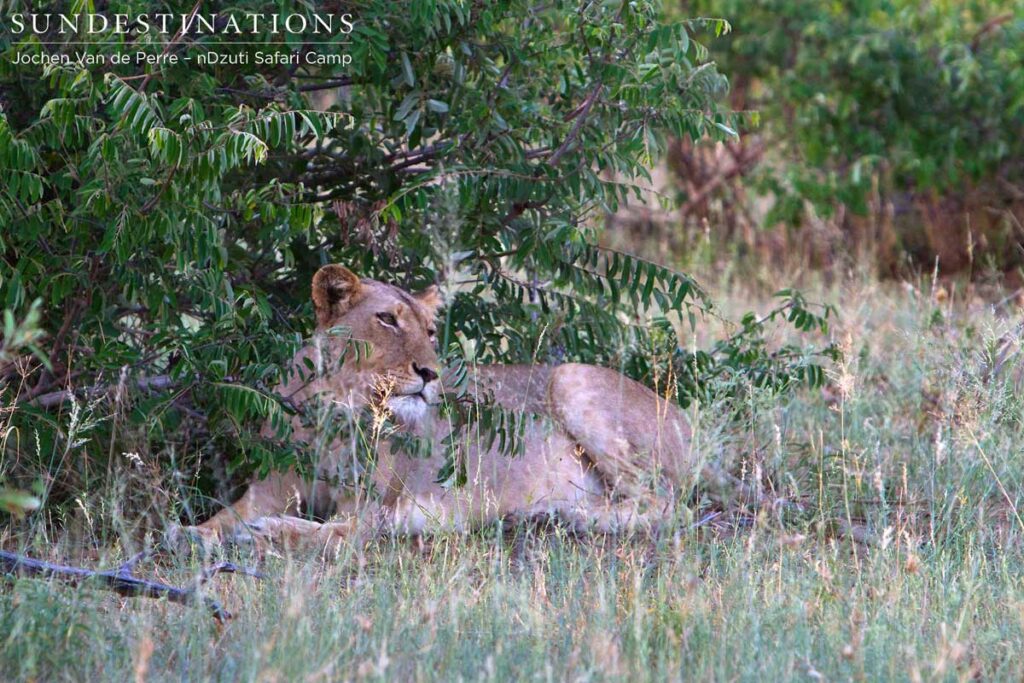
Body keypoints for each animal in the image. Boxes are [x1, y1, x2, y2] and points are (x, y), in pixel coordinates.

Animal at [173, 264, 740, 551]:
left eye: (429, 330)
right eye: (387, 320)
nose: (431, 374)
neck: (339, 410)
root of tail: (689, 423)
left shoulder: (369, 513)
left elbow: (322, 534)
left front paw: (266, 533)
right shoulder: (270, 486)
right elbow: (224, 516)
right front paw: (188, 534)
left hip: (571, 378)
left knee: (665, 506)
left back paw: (566, 517)